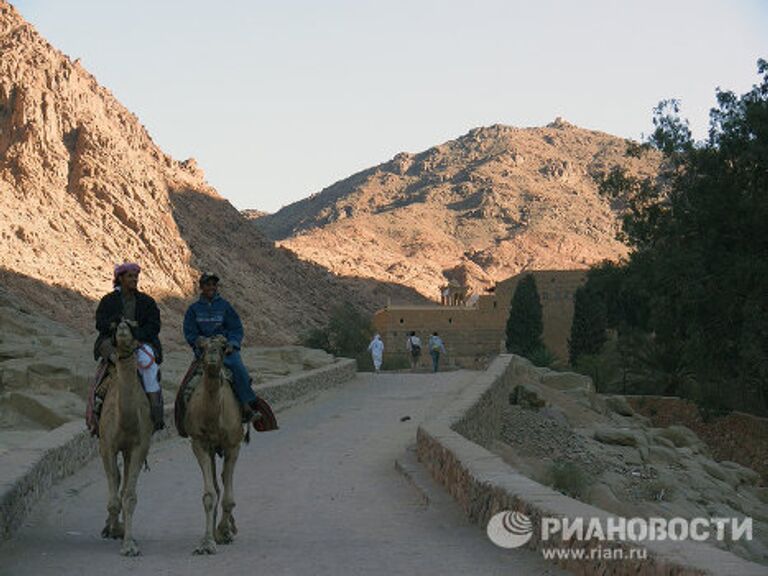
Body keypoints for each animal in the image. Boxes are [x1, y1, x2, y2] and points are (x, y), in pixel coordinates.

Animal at [184, 336, 246, 556]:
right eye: (201, 346)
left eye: (222, 346)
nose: (211, 355)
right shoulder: (199, 443)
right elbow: (210, 494)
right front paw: (207, 542)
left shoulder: (233, 445)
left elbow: (228, 497)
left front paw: (224, 531)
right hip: (210, 449)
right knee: (217, 484)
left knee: (224, 481)